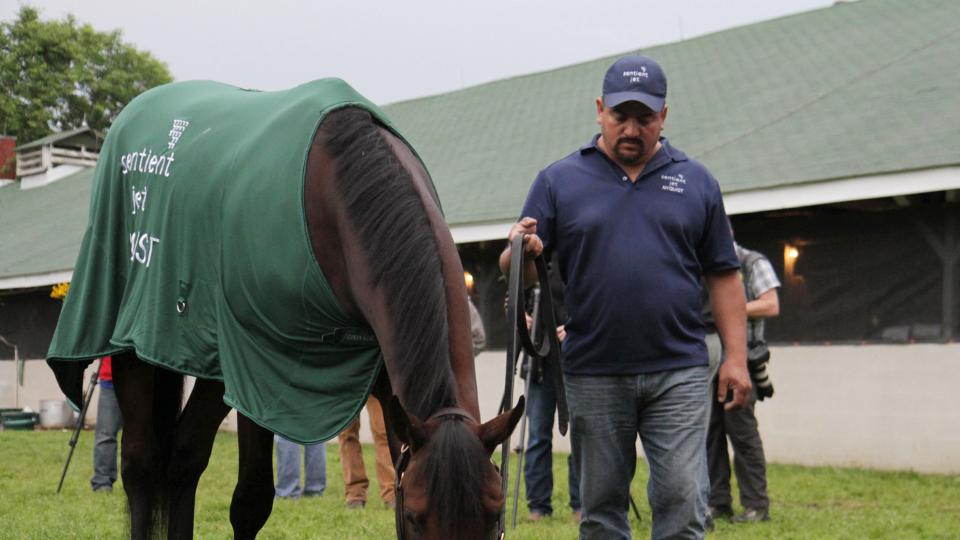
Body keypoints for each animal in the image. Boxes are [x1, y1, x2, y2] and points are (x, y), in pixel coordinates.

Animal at [44, 77, 520, 540]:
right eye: (416, 517)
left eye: (494, 516)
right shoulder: (264, 378)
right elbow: (251, 502)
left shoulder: (388, 388)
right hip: (132, 347)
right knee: (142, 465)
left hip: (213, 371)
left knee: (183, 458)